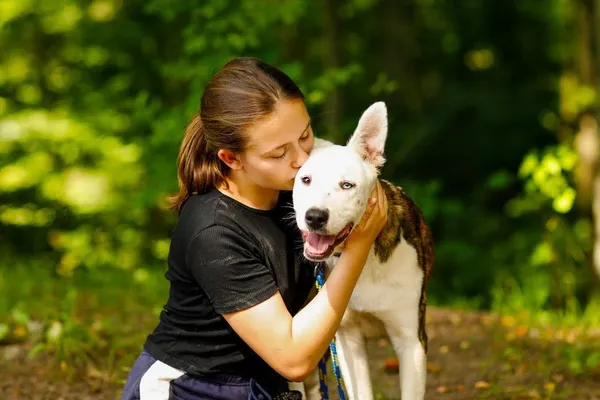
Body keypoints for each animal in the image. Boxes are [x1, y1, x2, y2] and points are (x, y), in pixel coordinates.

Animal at [290, 101, 432, 398]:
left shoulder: (411, 341)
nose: (315, 216)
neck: (365, 262)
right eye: (305, 179)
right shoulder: (347, 339)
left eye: (347, 185)